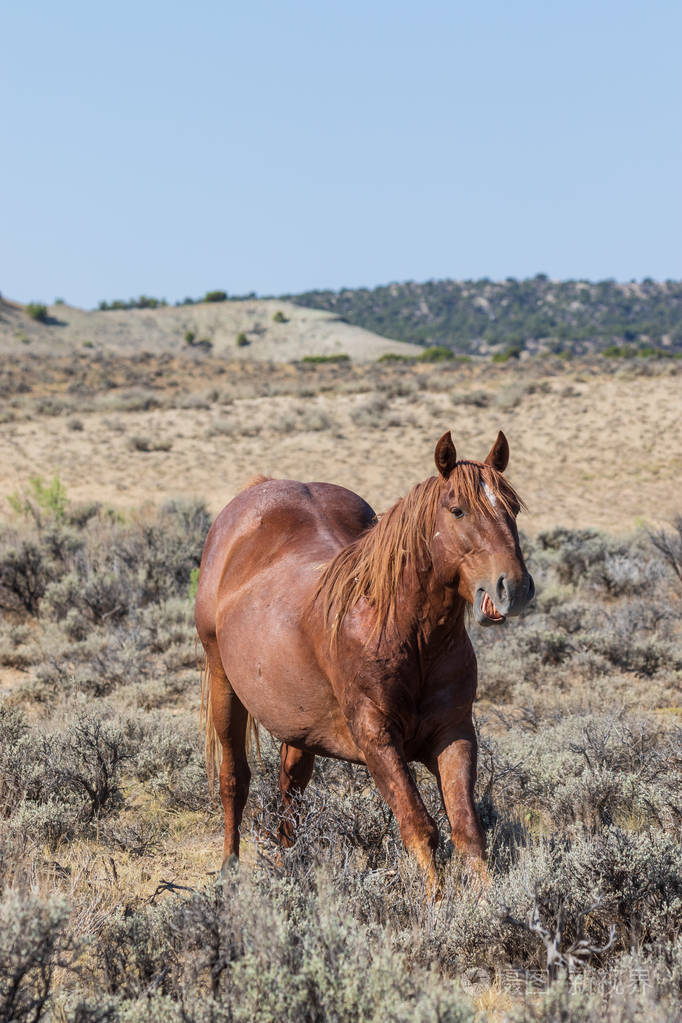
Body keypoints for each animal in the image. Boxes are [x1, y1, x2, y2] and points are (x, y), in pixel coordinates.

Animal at [194, 429, 535, 887]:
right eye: (458, 510)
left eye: (511, 507)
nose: (514, 588)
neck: (407, 634)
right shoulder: (378, 740)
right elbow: (420, 828)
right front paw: (437, 902)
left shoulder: (454, 734)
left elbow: (467, 831)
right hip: (223, 683)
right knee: (235, 779)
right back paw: (229, 871)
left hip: (297, 722)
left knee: (291, 790)